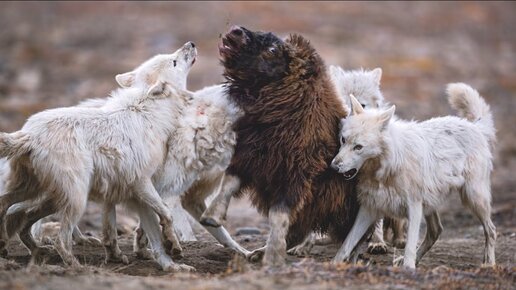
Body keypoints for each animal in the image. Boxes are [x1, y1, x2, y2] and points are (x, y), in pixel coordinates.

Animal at [0, 42, 198, 270]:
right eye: (173, 61)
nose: (191, 44)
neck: (148, 112)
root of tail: (28, 134)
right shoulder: (142, 183)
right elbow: (166, 213)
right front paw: (173, 245)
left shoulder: (131, 194)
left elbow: (141, 233)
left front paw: (168, 264)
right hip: (75, 199)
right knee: (59, 237)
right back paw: (76, 266)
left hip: (42, 193)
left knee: (11, 208)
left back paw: (16, 247)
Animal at [330, 82, 496, 268]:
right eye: (343, 140)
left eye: (358, 147)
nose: (333, 166)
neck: (384, 171)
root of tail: (475, 127)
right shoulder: (369, 208)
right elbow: (347, 243)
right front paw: (334, 264)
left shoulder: (414, 207)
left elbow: (409, 245)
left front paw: (408, 268)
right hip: (432, 204)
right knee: (436, 231)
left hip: (473, 198)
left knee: (491, 230)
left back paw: (489, 263)